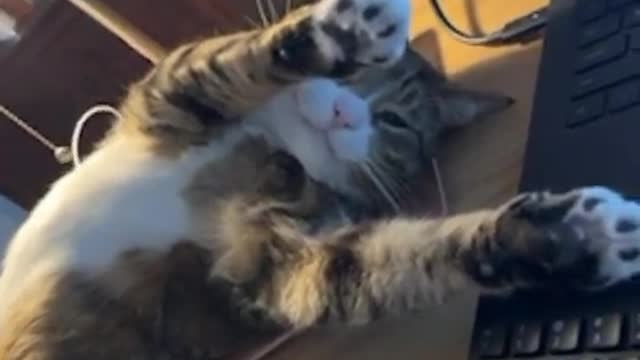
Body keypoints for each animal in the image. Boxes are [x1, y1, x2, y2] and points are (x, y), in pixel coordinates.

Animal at [1, 0, 640, 360]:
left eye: (395, 122)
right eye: (361, 80)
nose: (344, 114)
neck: (280, 144)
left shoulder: (265, 268)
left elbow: (381, 261)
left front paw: (567, 239)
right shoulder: (166, 102)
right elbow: (224, 64)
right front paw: (347, 34)